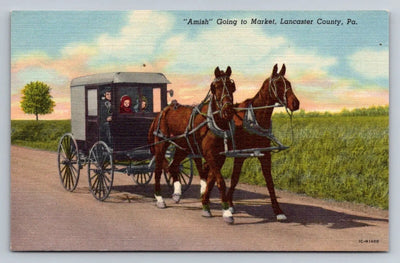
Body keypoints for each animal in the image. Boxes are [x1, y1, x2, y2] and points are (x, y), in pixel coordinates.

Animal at [148, 66, 236, 225]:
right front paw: (226, 212)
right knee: (158, 170)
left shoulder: (220, 157)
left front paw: (205, 205)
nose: (228, 111)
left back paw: (177, 193)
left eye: (232, 86)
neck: (214, 122)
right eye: (216, 87)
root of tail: (162, 112)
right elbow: (220, 181)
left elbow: (211, 181)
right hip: (161, 145)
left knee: (173, 166)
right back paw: (159, 199)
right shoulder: (209, 154)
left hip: (182, 147)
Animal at [227, 64, 298, 221]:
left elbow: (270, 182)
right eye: (278, 84)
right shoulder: (239, 156)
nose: (295, 103)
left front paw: (278, 211)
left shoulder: (265, 155)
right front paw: (228, 204)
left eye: (289, 83)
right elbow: (234, 178)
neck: (253, 119)